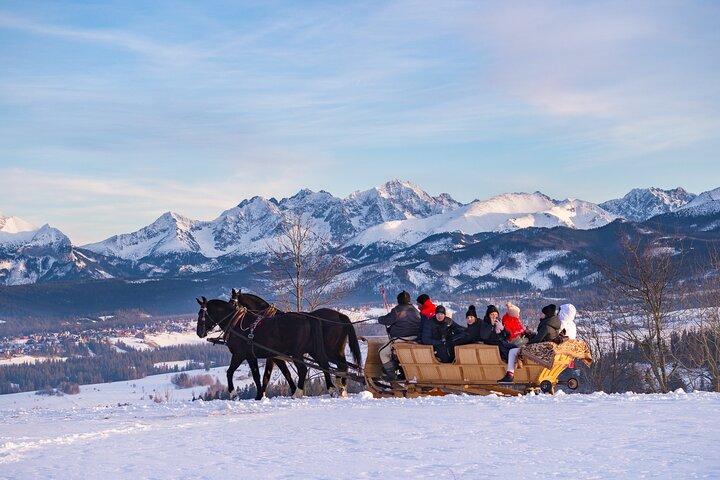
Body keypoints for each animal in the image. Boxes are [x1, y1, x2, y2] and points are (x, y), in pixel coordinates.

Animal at [195, 296, 330, 400]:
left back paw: (298, 393)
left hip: (296, 353)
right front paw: (260, 395)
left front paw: (234, 394)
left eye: (201, 314)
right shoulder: (256, 356)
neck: (236, 323)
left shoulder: (240, 354)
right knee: (324, 364)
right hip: (312, 350)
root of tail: (306, 316)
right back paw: (331, 388)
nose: (199, 332)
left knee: (303, 369)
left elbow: (230, 372)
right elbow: (261, 375)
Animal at [230, 288, 363, 397]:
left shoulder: (273, 355)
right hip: (335, 349)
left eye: (232, 302)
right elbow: (278, 374)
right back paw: (341, 387)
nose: (233, 319)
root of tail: (340, 315)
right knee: (342, 365)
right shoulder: (275, 355)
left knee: (337, 365)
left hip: (329, 350)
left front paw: (261, 395)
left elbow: (268, 375)